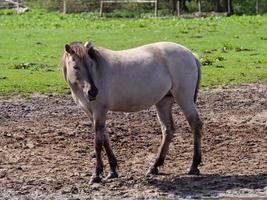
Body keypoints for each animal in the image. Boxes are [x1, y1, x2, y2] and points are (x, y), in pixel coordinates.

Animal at [60, 41, 203, 184]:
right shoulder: (91, 113)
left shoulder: (99, 111)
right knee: (168, 130)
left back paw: (193, 166)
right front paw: (112, 170)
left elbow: (98, 143)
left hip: (184, 98)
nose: (93, 92)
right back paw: (154, 167)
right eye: (76, 67)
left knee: (195, 125)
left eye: (90, 64)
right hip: (164, 102)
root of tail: (190, 54)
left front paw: (96, 174)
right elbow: (105, 139)